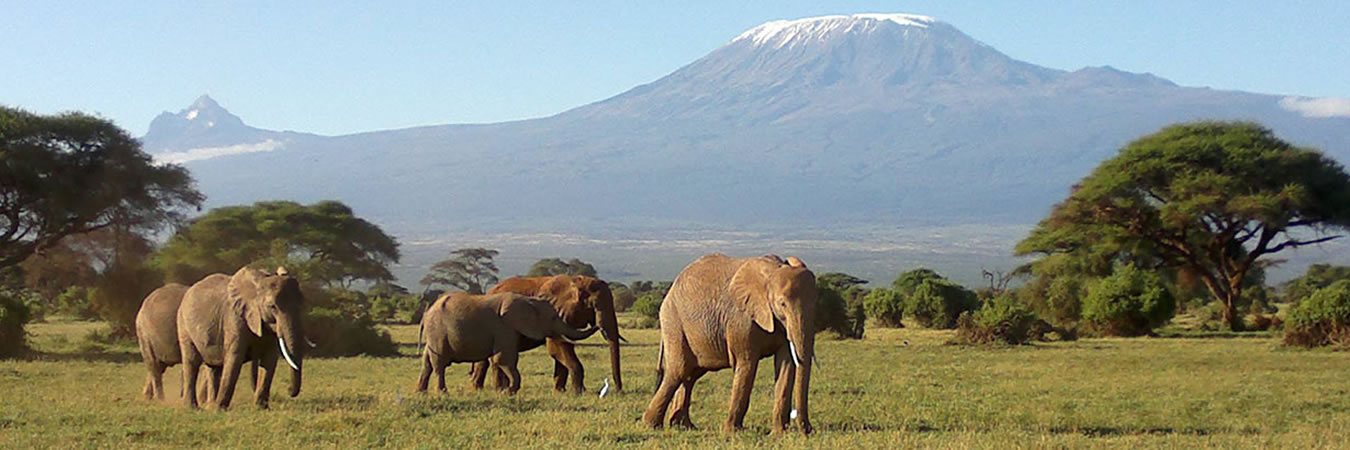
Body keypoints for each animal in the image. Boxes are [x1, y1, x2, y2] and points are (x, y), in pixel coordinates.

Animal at [175, 266, 305, 410]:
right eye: (272, 306)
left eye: (301, 304)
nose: (288, 390)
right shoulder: (234, 318)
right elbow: (235, 358)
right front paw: (220, 410)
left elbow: (269, 360)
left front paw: (261, 408)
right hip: (183, 324)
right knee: (192, 362)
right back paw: (193, 408)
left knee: (213, 367)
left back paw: (210, 405)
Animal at [415, 290, 596, 391]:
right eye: (552, 318)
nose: (594, 323)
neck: (529, 301)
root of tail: (426, 314)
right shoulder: (504, 328)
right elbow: (503, 359)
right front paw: (508, 392)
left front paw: (506, 391)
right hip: (438, 333)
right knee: (439, 364)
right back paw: (442, 393)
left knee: (427, 363)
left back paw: (421, 393)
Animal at [480, 272, 626, 391]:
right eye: (594, 305)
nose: (618, 391)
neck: (576, 281)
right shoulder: (554, 313)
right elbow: (557, 347)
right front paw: (579, 392)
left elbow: (563, 348)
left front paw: (560, 391)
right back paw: (499, 389)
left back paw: (479, 388)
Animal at [639, 252, 815, 432]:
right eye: (782, 304)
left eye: (815, 304)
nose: (808, 430)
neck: (772, 271)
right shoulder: (740, 320)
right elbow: (746, 364)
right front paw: (732, 432)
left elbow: (786, 364)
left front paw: (779, 434)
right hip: (673, 322)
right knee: (679, 370)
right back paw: (651, 425)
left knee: (690, 375)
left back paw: (684, 426)